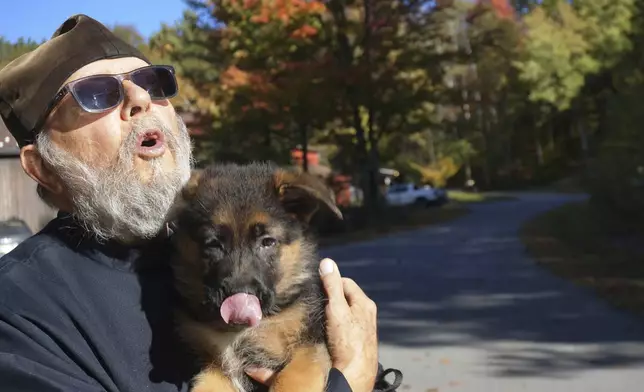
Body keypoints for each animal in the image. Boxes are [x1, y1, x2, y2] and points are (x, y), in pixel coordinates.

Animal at [169, 162, 344, 392]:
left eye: (267, 242)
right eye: (213, 243)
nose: (239, 299)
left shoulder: (310, 348)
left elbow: (290, 379)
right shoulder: (216, 368)